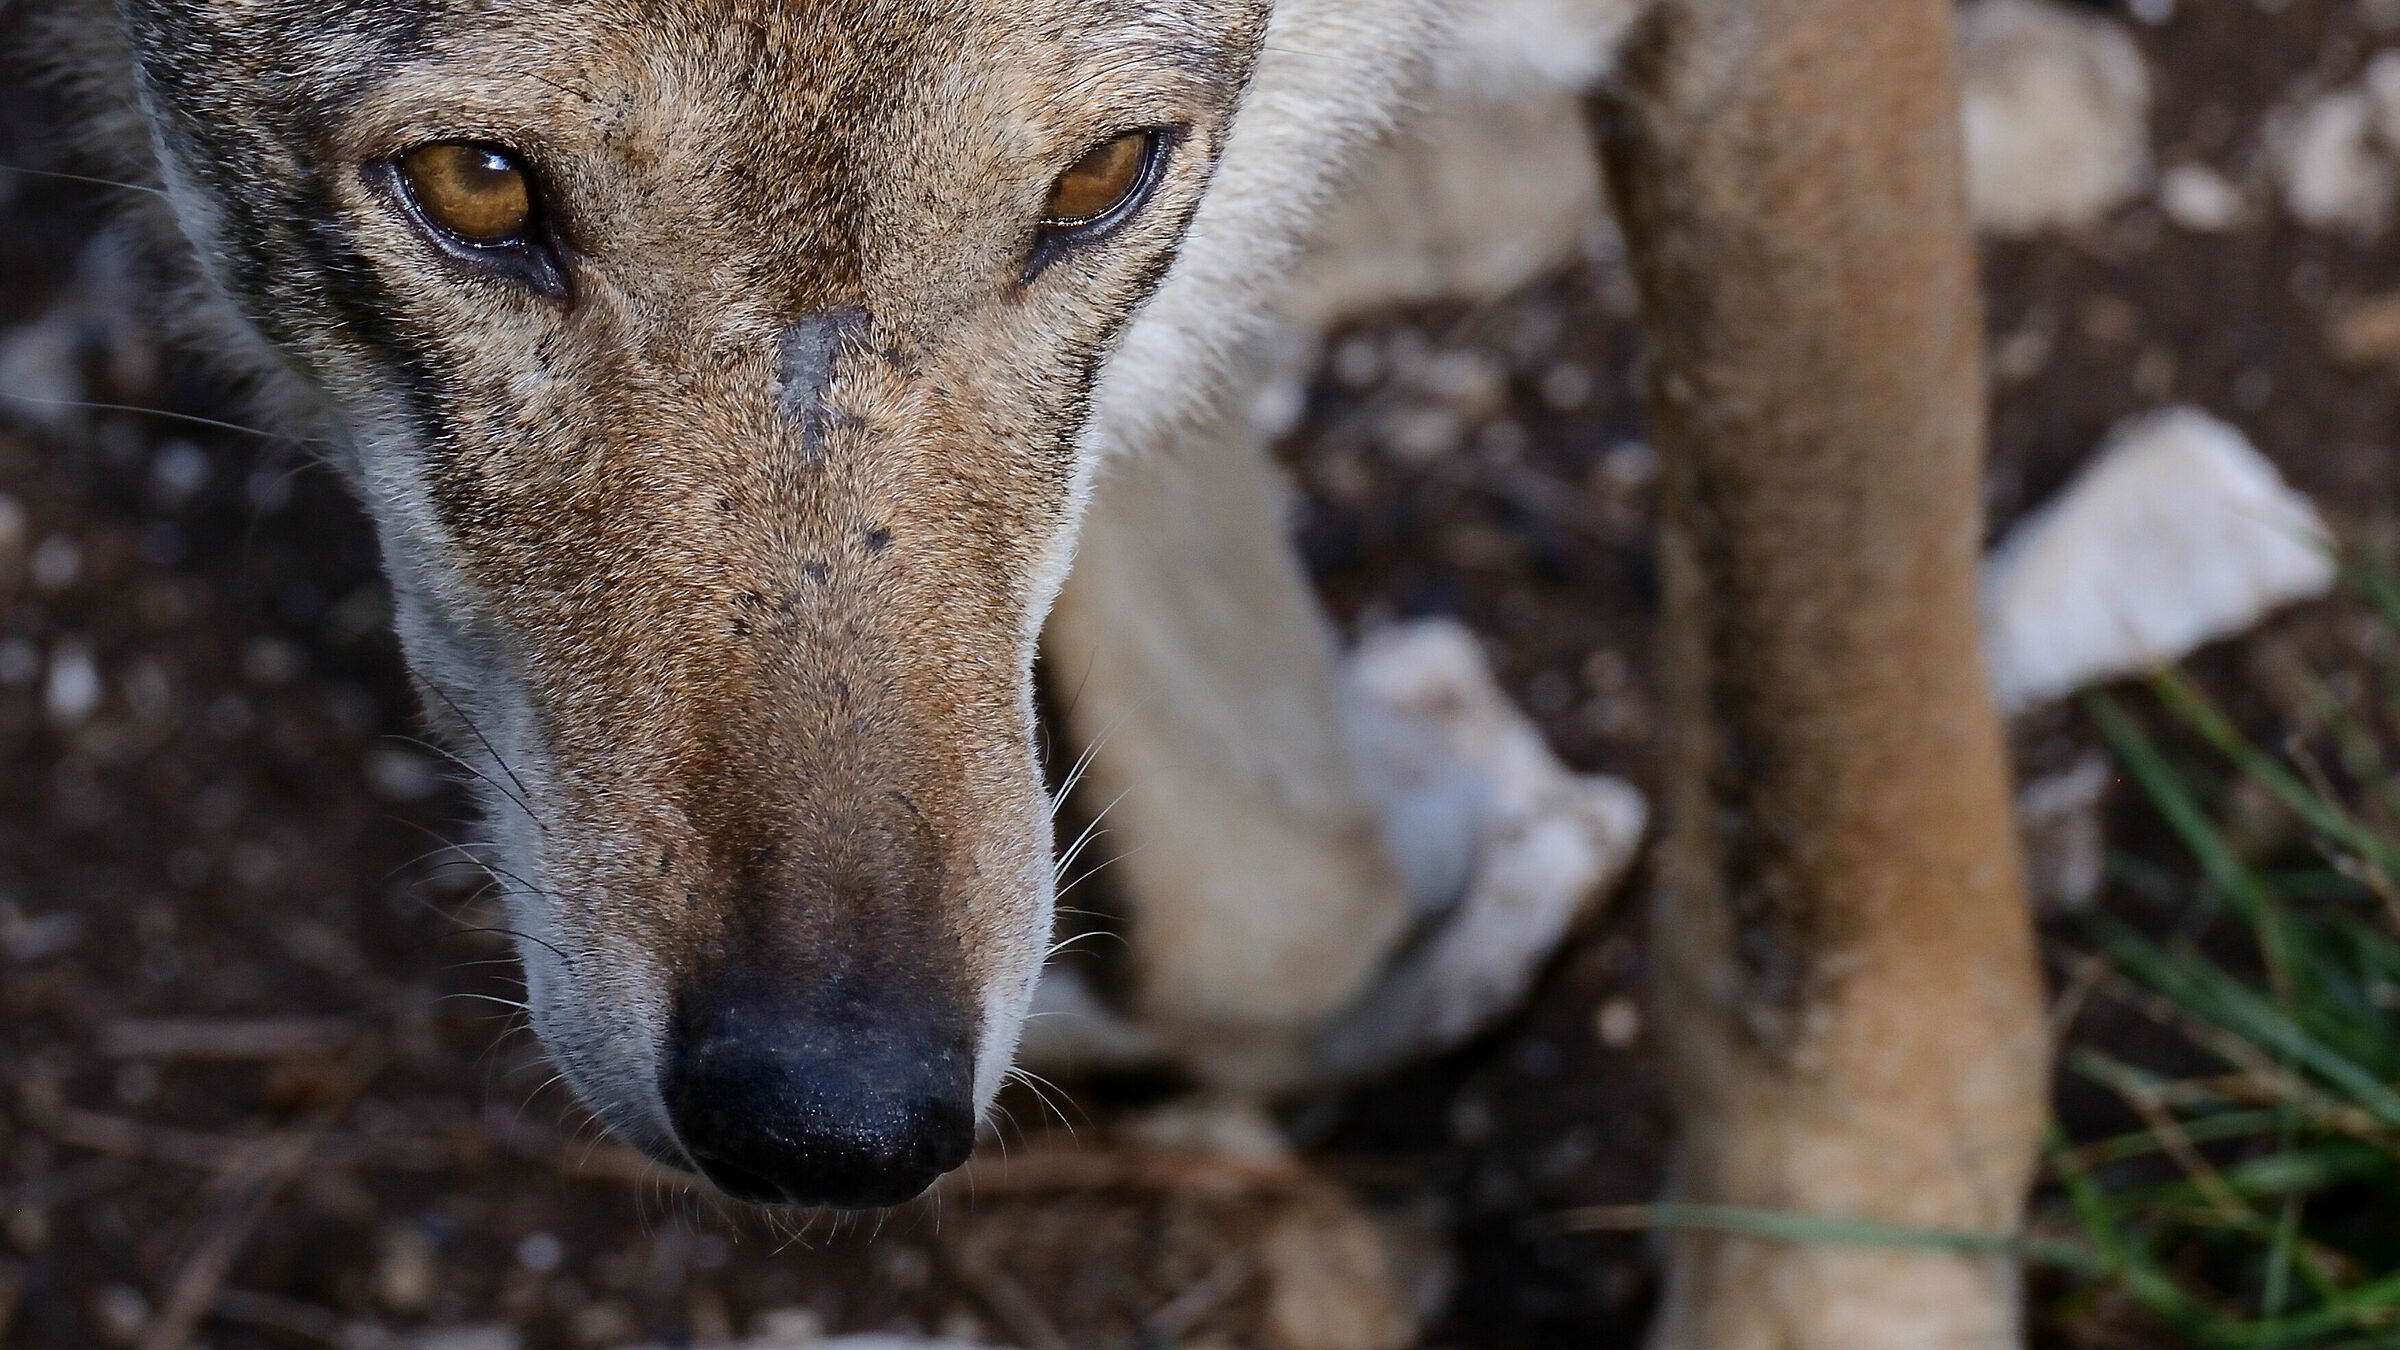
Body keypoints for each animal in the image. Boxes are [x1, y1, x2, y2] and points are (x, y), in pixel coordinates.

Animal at [24, 0, 2047, 1342]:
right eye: (475, 185)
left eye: (1096, 177)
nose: (834, 1114)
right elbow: (1266, 892)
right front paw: (1431, 860)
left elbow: (1848, 982)